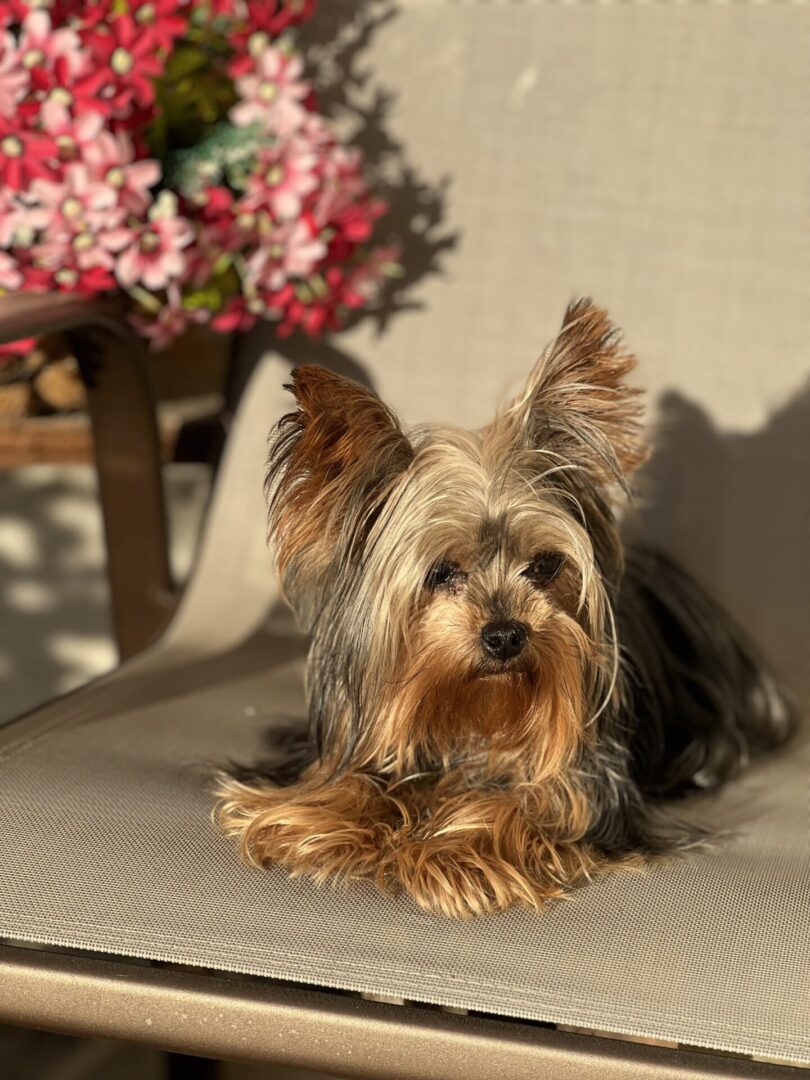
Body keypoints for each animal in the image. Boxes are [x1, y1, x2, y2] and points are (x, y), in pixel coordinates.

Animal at [213, 298, 794, 920]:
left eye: (545, 565)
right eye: (442, 572)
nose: (506, 635)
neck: (474, 715)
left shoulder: (588, 785)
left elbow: (532, 801)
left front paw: (452, 852)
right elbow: (350, 777)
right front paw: (312, 818)